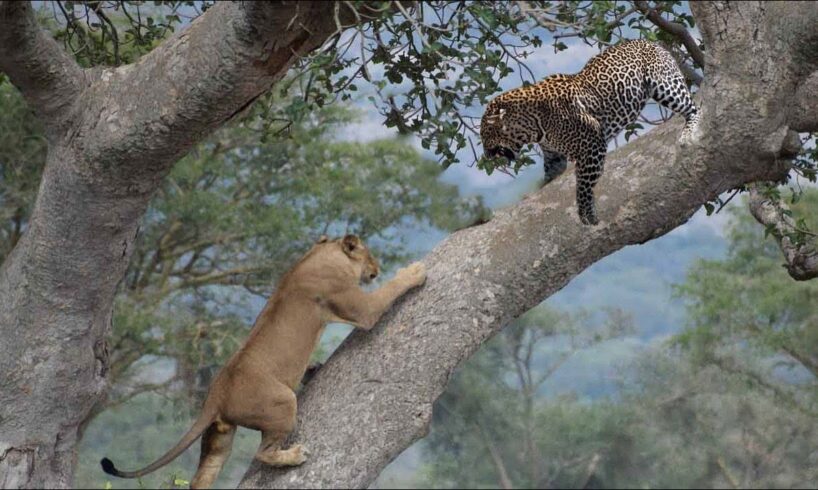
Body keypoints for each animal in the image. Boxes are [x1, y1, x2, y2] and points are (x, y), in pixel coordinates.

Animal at [482, 39, 700, 225]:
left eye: (485, 135)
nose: (486, 156)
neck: (532, 125)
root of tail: (651, 42)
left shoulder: (593, 145)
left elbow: (583, 185)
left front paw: (587, 213)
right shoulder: (554, 157)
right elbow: (550, 177)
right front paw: (534, 191)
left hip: (664, 85)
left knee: (694, 108)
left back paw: (688, 133)